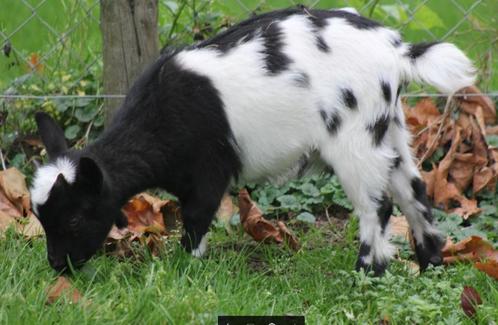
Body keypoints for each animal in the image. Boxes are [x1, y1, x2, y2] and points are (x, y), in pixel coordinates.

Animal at [30, 6, 474, 274]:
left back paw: (367, 271)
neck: (159, 117)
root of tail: (398, 52)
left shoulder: (209, 167)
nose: (56, 265)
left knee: (376, 205)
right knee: (413, 189)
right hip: (390, 126)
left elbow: (196, 216)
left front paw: (186, 268)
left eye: (74, 218)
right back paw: (430, 262)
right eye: (41, 218)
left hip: (354, 137)